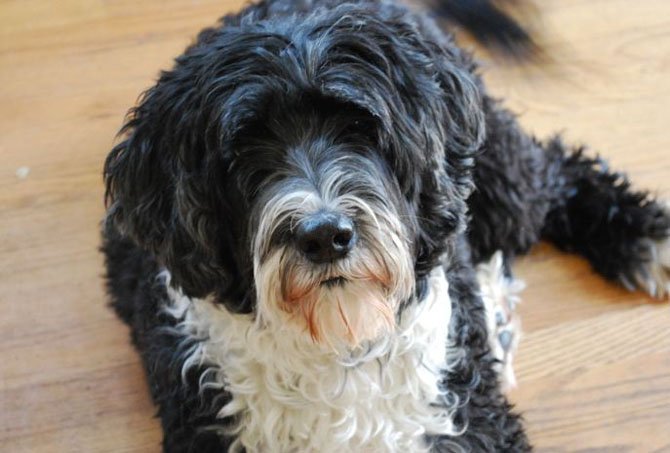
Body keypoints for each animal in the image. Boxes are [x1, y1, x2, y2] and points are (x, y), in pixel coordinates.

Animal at [101, 1, 670, 450]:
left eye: (360, 126)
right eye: (241, 152)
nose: (324, 236)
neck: (341, 345)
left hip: (504, 184)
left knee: (558, 172)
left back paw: (644, 239)